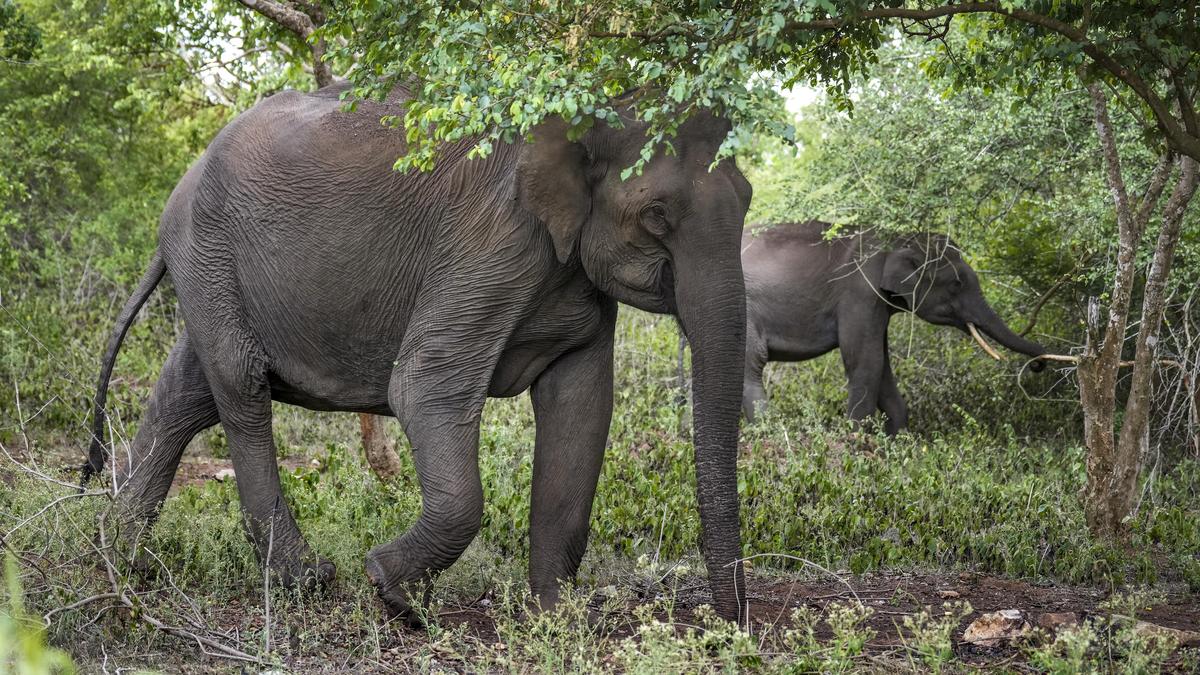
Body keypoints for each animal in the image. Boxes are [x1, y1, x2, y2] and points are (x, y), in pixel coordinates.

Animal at [82, 82, 752, 624]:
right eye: (657, 215)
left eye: (747, 198)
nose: (727, 625)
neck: (592, 109)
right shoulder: (491, 244)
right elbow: (424, 389)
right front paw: (390, 591)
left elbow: (581, 407)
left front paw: (559, 620)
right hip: (210, 251)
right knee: (241, 388)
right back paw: (304, 581)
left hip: (211, 269)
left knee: (189, 393)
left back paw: (121, 557)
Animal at [740, 220, 1048, 432]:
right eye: (956, 284)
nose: (1037, 365)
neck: (898, 239)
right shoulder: (860, 293)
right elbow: (866, 360)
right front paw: (856, 438)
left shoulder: (877, 305)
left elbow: (883, 364)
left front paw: (897, 440)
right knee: (751, 366)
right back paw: (766, 431)